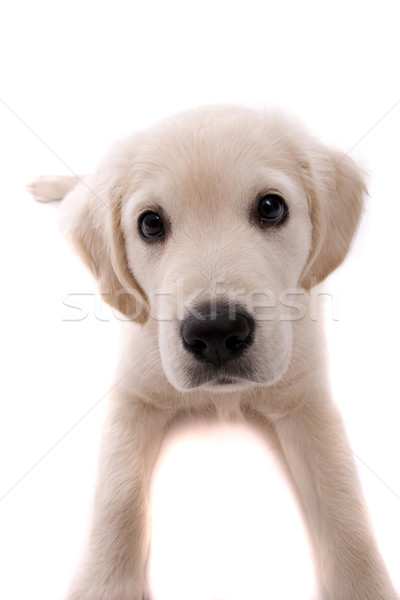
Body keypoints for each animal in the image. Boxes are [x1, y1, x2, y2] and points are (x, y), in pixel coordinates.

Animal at [28, 106, 396, 600]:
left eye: (271, 207)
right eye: (150, 223)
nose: (217, 332)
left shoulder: (308, 401)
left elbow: (343, 501)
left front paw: (365, 584)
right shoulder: (134, 396)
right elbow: (118, 492)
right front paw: (103, 585)